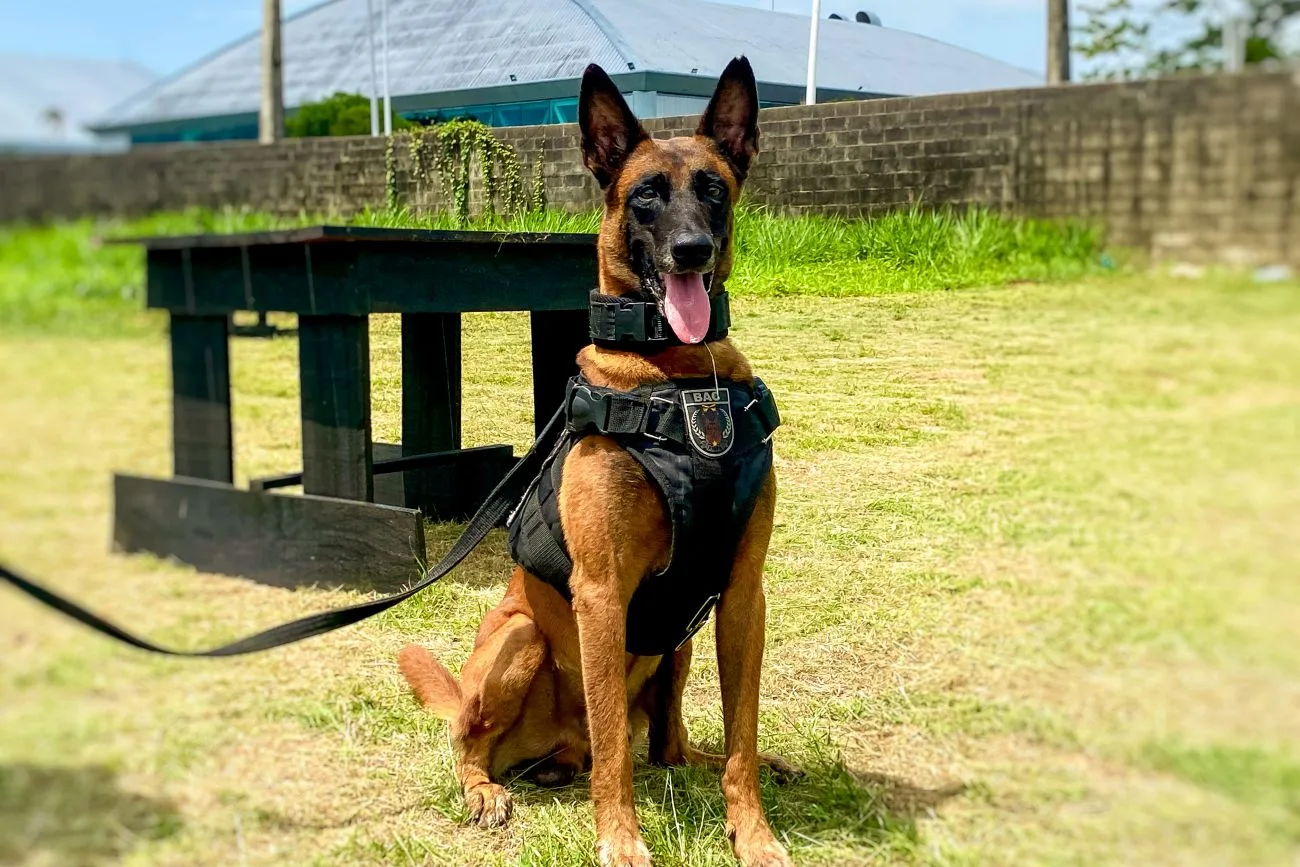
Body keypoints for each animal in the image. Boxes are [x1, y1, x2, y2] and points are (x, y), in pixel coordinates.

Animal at [397, 57, 800, 863]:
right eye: (645, 195)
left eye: (712, 188)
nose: (691, 250)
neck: (683, 378)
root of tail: (558, 747)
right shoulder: (604, 595)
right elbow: (615, 746)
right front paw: (619, 838)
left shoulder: (743, 594)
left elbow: (740, 732)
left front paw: (753, 830)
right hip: (518, 642)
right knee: (480, 744)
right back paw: (487, 789)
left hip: (679, 645)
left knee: (672, 747)